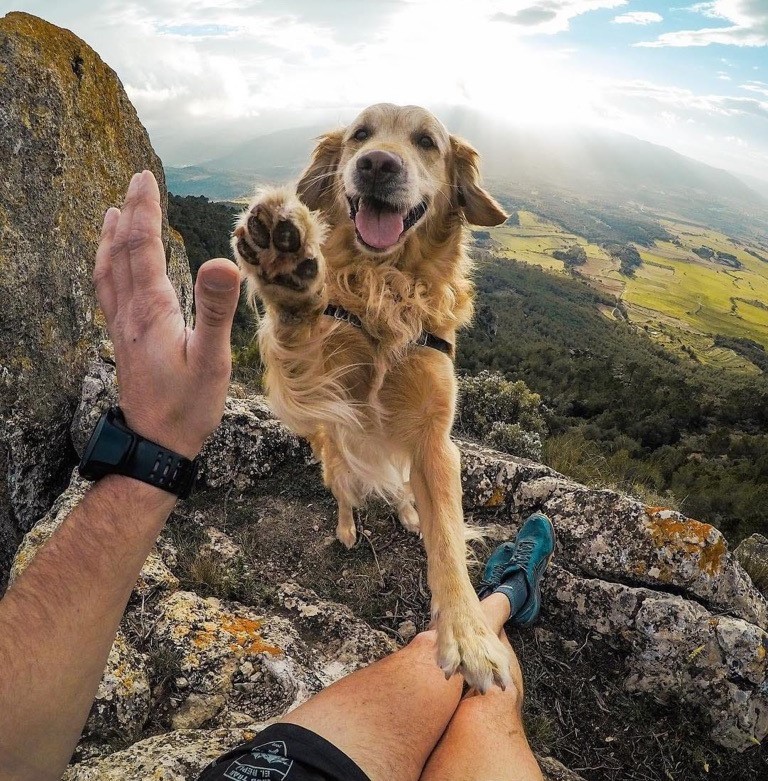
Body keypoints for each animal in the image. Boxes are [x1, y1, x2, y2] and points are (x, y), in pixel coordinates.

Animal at [232, 102, 510, 688]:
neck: (388, 285)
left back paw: (407, 511)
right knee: (344, 490)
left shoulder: (434, 439)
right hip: (333, 456)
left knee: (403, 490)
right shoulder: (318, 385)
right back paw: (346, 528)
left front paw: (468, 633)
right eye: (360, 134)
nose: (377, 164)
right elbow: (295, 333)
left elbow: (447, 535)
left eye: (427, 142)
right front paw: (286, 275)